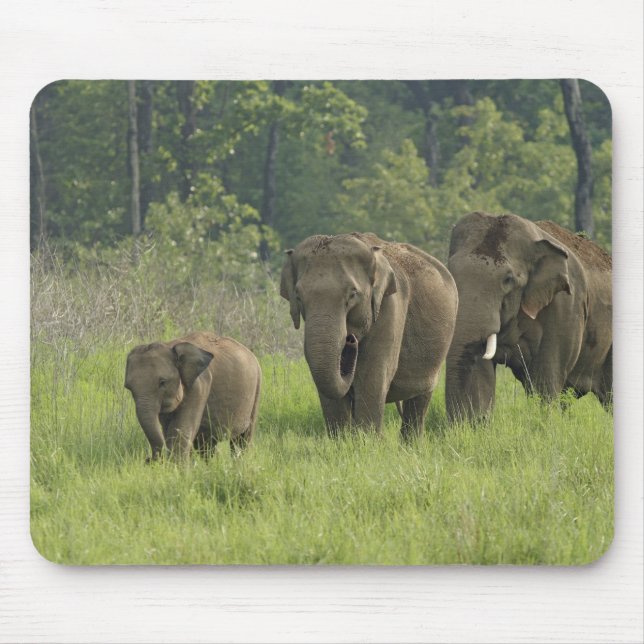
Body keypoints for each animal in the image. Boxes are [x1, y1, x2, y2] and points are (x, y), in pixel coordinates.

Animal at [124, 332, 261, 461]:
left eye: (162, 382)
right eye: (129, 387)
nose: (148, 459)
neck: (170, 346)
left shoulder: (199, 386)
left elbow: (181, 430)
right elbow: (169, 430)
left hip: (256, 389)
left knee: (242, 438)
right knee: (207, 443)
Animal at [280, 232, 458, 438]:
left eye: (352, 294)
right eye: (298, 296)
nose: (351, 340)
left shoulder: (391, 307)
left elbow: (371, 377)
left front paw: (367, 441)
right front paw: (342, 441)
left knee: (419, 400)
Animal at [445, 211, 612, 421]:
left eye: (508, 279)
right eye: (449, 271)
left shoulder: (565, 305)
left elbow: (546, 377)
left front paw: (546, 423)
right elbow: (480, 371)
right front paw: (472, 424)